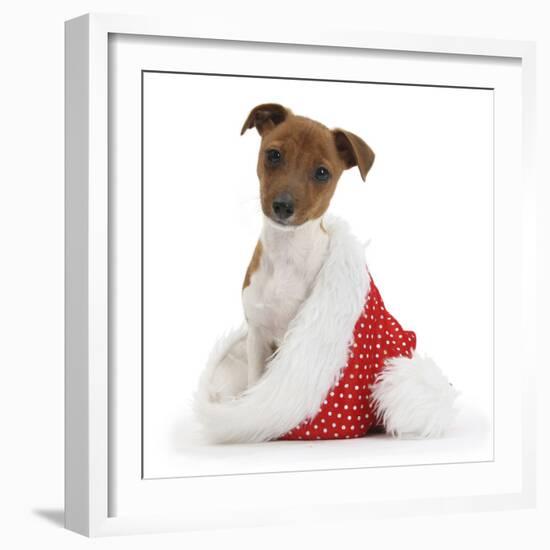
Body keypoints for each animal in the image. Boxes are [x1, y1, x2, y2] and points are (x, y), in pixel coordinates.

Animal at [242, 103, 376, 388]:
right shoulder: (257, 335)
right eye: (274, 155)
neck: (287, 254)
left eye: (322, 173)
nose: (283, 206)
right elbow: (253, 386)